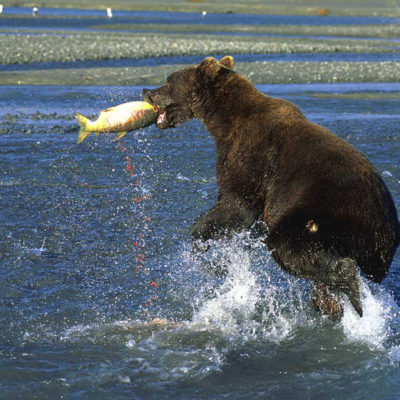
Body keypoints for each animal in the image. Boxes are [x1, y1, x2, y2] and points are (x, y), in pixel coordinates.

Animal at [142, 57, 398, 318]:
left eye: (169, 80)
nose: (146, 92)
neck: (225, 121)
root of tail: (385, 230)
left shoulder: (250, 156)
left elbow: (236, 204)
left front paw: (201, 244)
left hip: (326, 214)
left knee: (287, 246)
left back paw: (346, 283)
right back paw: (330, 304)